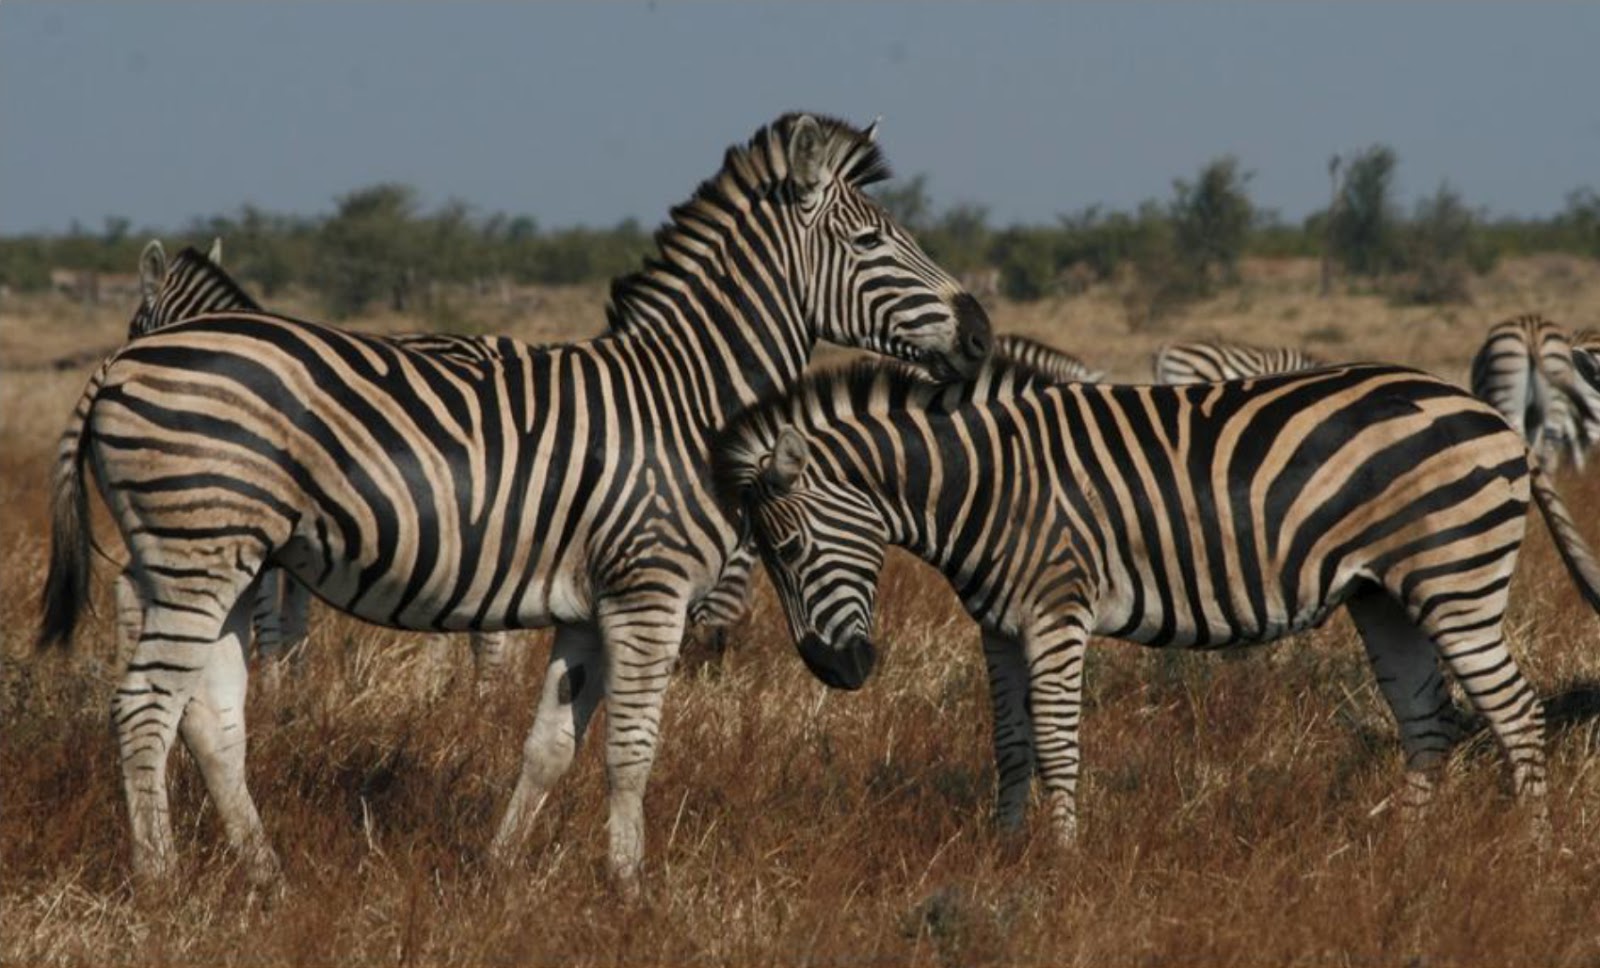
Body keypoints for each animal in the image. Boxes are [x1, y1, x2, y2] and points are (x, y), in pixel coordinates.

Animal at [39, 112, 993, 891]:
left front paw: (498, 875)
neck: (687, 397)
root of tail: (122, 362)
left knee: (210, 719)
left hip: (225, 561)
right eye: (869, 242)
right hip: (194, 553)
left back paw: (265, 877)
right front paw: (629, 892)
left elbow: (550, 748)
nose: (982, 331)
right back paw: (161, 884)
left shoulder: (587, 610)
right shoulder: (648, 593)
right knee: (144, 709)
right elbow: (632, 752)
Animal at [713, 358, 1600, 847]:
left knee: (1517, 713)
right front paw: (1005, 851)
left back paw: (1529, 855)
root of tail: (1497, 420)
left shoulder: (1056, 611)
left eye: (789, 552)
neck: (988, 484)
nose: (837, 672)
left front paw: (1060, 866)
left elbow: (1056, 743)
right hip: (1384, 596)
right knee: (1428, 723)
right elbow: (1009, 744)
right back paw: (1405, 859)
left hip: (1457, 582)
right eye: (766, 561)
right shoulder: (997, 628)